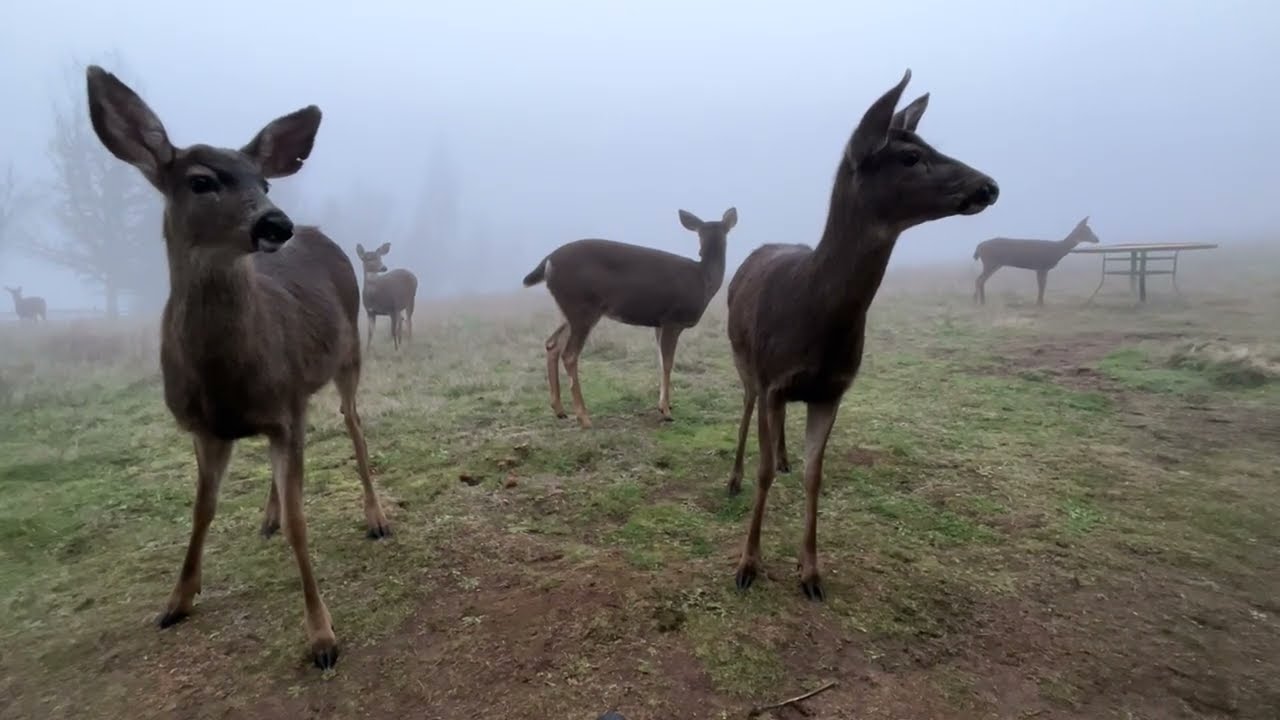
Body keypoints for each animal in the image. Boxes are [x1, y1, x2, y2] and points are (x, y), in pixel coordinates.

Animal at [85, 65, 391, 670]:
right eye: (201, 181)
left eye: (264, 183)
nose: (277, 223)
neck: (225, 379)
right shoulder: (206, 428)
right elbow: (201, 511)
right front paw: (177, 601)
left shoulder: (285, 409)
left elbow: (301, 522)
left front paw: (322, 636)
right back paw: (267, 516)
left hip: (348, 356)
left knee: (353, 425)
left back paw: (375, 517)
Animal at [522, 207, 737, 428]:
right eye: (700, 234)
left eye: (717, 232)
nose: (702, 251)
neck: (704, 280)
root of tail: (548, 262)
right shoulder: (672, 319)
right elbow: (668, 363)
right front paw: (666, 411)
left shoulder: (658, 323)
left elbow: (660, 360)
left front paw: (663, 405)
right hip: (582, 306)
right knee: (570, 354)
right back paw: (584, 417)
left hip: (571, 310)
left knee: (552, 343)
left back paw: (559, 409)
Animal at [725, 69, 998, 601]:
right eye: (910, 156)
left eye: (930, 144)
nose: (989, 185)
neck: (814, 318)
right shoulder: (773, 378)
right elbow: (764, 473)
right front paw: (748, 564)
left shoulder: (833, 388)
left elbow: (815, 475)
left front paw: (810, 572)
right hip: (744, 359)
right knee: (746, 409)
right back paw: (733, 477)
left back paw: (784, 458)